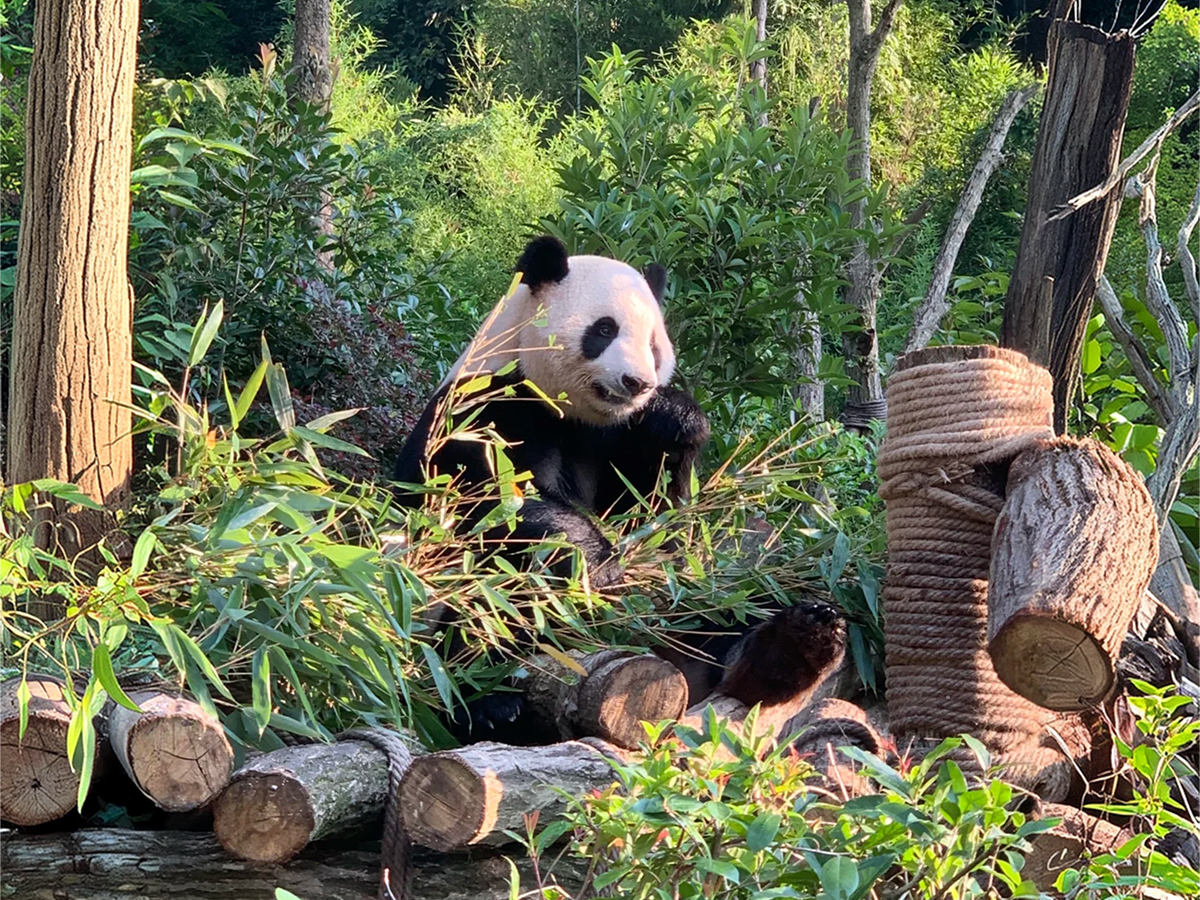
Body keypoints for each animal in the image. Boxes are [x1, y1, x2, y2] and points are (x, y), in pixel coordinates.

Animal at [393, 235, 845, 743]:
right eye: (604, 330)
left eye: (653, 344)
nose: (637, 382)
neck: (573, 413)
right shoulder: (485, 407)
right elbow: (498, 501)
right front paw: (601, 566)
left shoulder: (618, 438)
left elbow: (659, 518)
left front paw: (676, 418)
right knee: (486, 606)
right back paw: (494, 703)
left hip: (705, 605)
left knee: (728, 601)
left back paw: (793, 644)